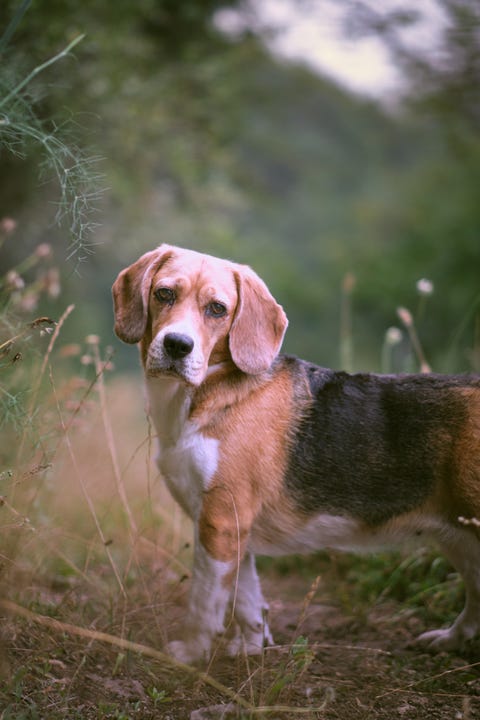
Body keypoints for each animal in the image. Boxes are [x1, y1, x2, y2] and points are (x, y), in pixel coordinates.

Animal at [112, 243, 480, 664]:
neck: (208, 394)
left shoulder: (219, 522)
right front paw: (250, 648)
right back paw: (450, 640)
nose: (177, 345)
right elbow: (247, 599)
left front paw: (189, 652)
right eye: (164, 294)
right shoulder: (234, 527)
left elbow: (205, 600)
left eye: (217, 309)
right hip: (460, 538)